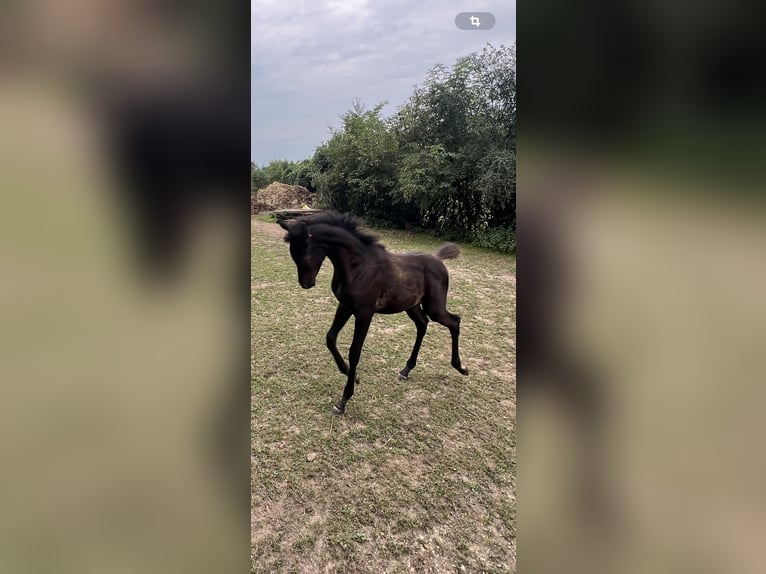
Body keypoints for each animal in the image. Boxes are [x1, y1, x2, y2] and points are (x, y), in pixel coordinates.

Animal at [280, 214, 472, 416]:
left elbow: (354, 352)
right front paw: (353, 376)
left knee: (454, 321)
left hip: (434, 307)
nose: (306, 284)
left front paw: (343, 401)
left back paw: (461, 367)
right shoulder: (345, 306)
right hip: (411, 306)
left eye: (304, 255)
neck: (357, 267)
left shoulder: (365, 313)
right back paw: (406, 370)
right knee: (422, 324)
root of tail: (439, 259)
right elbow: (330, 338)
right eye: (294, 255)